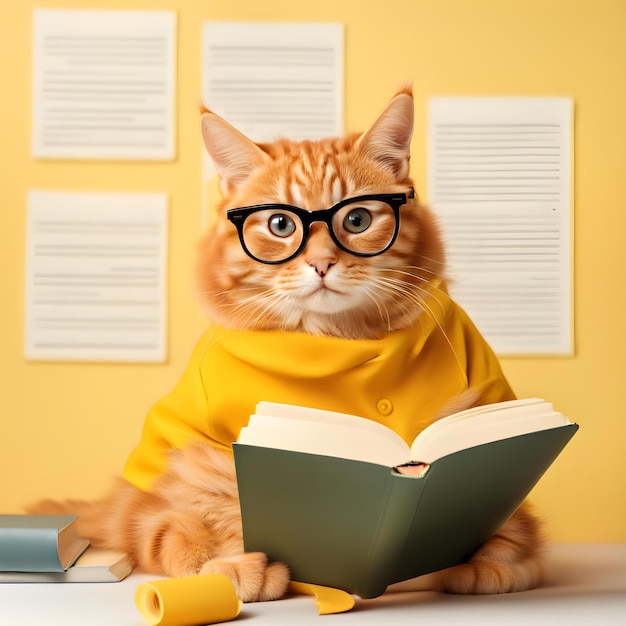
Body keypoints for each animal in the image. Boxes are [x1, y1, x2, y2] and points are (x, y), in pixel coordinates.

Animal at [31, 88, 544, 600]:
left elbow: (507, 520)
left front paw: (482, 559)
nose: (321, 264)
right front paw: (232, 562)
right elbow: (194, 519)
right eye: (280, 225)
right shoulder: (168, 484)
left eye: (357, 218)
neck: (336, 343)